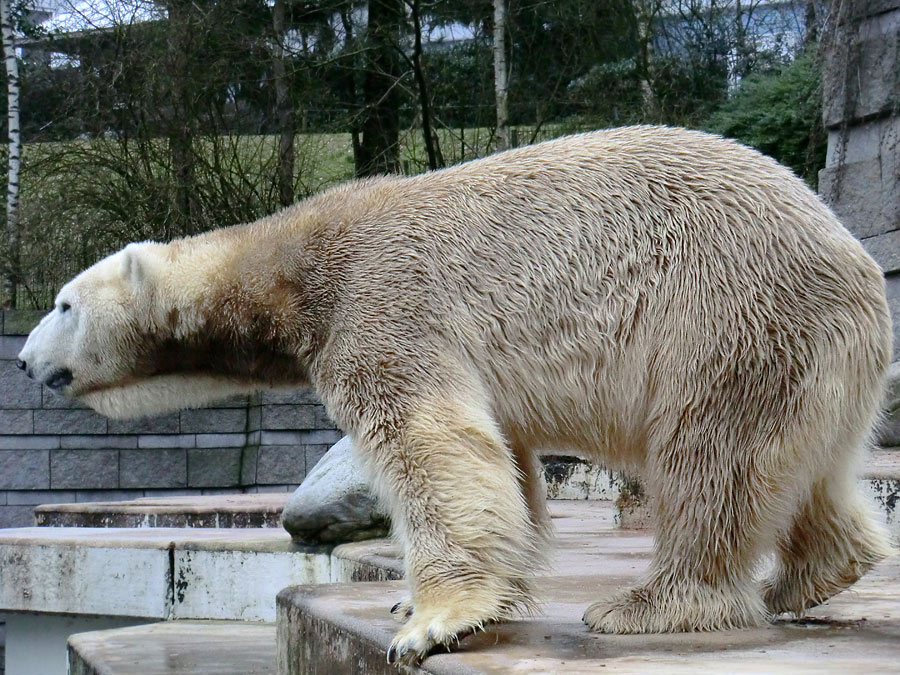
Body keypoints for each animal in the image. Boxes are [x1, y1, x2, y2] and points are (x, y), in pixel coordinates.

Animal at [17, 128, 888, 664]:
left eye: (62, 304)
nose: (24, 361)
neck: (290, 267)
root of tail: (858, 267)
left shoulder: (379, 299)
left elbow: (428, 441)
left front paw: (430, 620)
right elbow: (505, 459)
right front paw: (446, 600)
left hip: (727, 314)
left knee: (711, 459)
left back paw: (649, 603)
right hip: (804, 352)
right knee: (799, 466)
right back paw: (811, 575)